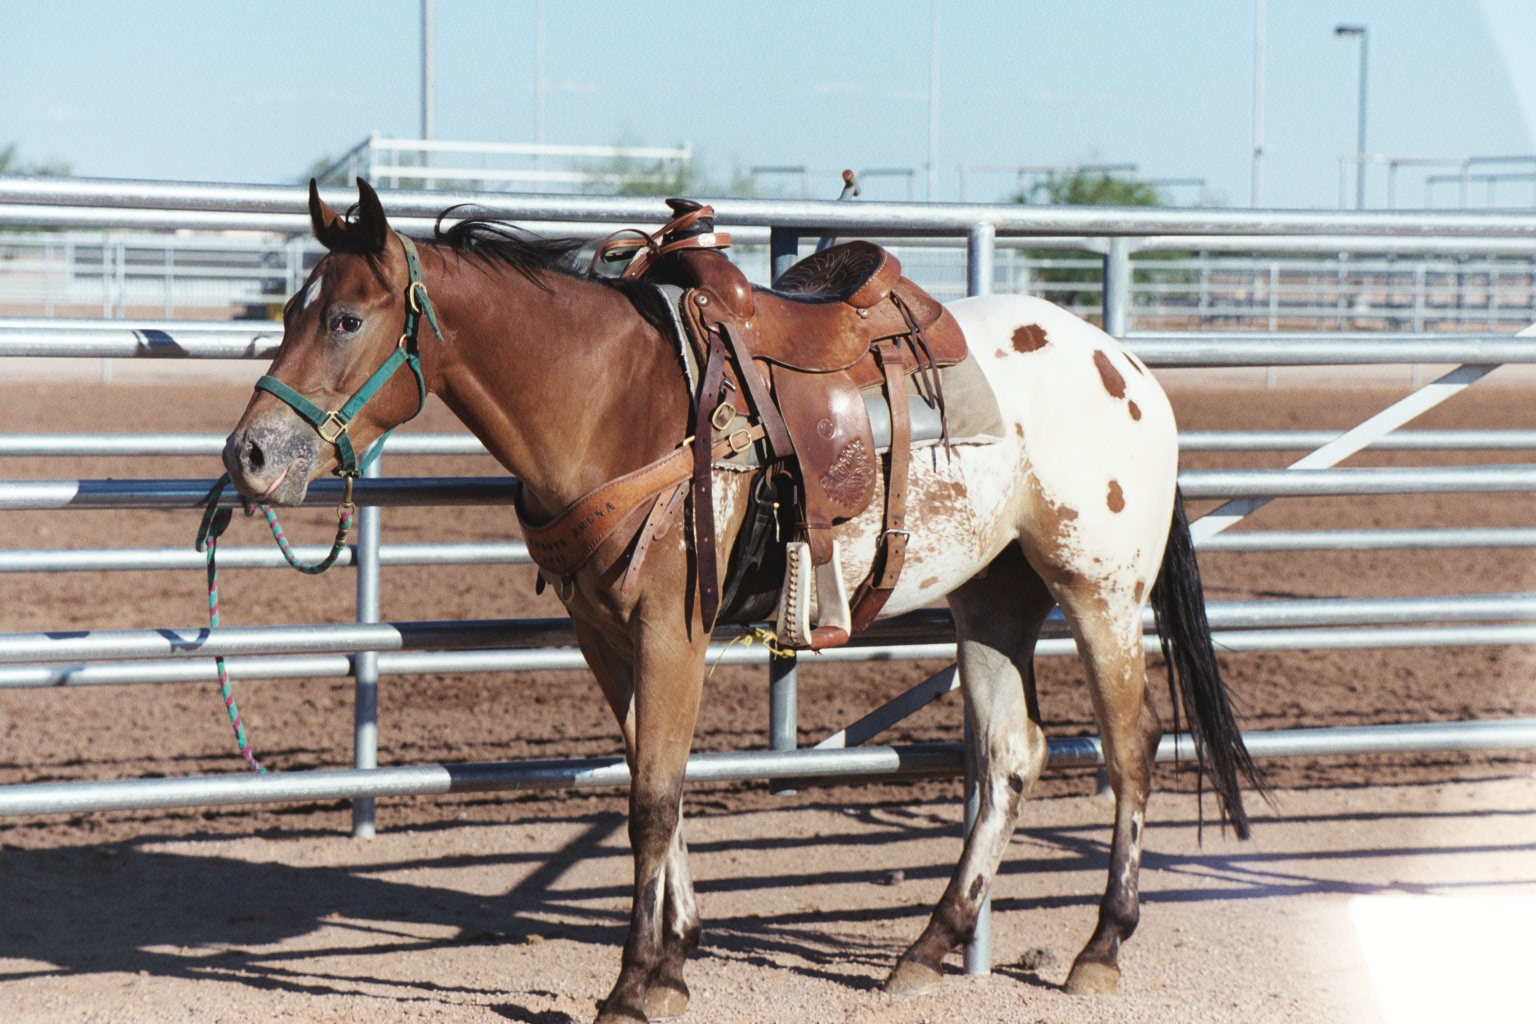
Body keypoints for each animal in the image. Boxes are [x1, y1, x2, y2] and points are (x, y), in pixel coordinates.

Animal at [227, 180, 1259, 1019]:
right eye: (292, 313)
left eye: (346, 320)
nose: (249, 455)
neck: (613, 401)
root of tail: (1127, 366)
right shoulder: (602, 633)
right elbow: (654, 776)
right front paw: (676, 958)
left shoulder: (670, 628)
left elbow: (652, 798)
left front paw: (635, 984)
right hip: (993, 597)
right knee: (1012, 754)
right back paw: (927, 948)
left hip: (1099, 589)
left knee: (1131, 746)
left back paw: (1100, 947)